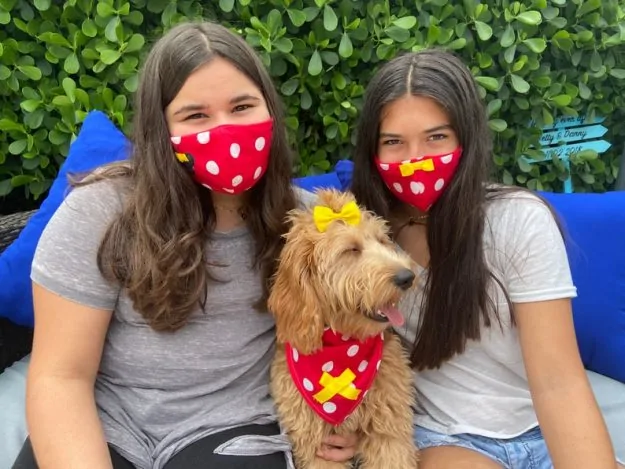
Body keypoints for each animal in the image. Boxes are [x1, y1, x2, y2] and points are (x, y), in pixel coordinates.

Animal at [268, 189, 420, 468]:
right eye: (351, 249)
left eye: (382, 240)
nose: (407, 277)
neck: (343, 346)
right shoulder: (317, 445)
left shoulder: (390, 433)